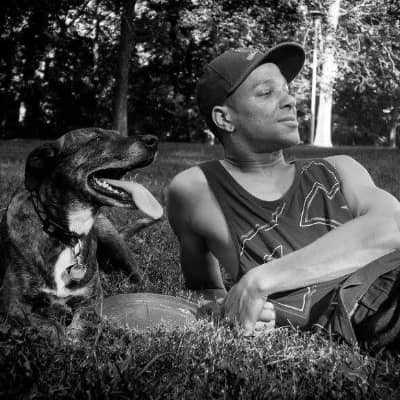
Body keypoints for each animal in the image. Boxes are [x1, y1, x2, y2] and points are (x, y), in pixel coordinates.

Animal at [0, 128, 162, 331]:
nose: (153, 140)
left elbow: (79, 325)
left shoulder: (91, 300)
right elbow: (51, 326)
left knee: (139, 275)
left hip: (112, 239)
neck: (66, 233)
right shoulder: (13, 304)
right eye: (97, 139)